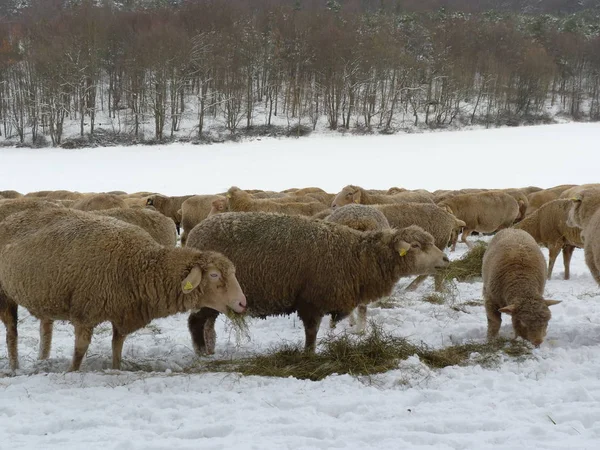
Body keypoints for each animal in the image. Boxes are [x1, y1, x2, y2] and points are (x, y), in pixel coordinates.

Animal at [0, 207, 248, 370]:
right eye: (214, 275)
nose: (242, 303)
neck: (138, 265)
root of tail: (8, 220)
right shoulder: (84, 312)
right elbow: (80, 350)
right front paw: (72, 372)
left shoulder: (123, 310)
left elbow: (117, 345)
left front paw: (116, 368)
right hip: (4, 294)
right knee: (12, 333)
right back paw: (14, 367)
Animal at [185, 211, 448, 356]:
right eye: (416, 246)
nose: (446, 260)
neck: (356, 256)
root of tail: (194, 234)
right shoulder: (311, 300)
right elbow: (312, 332)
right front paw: (309, 354)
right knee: (195, 322)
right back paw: (201, 353)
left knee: (207, 324)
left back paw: (210, 349)